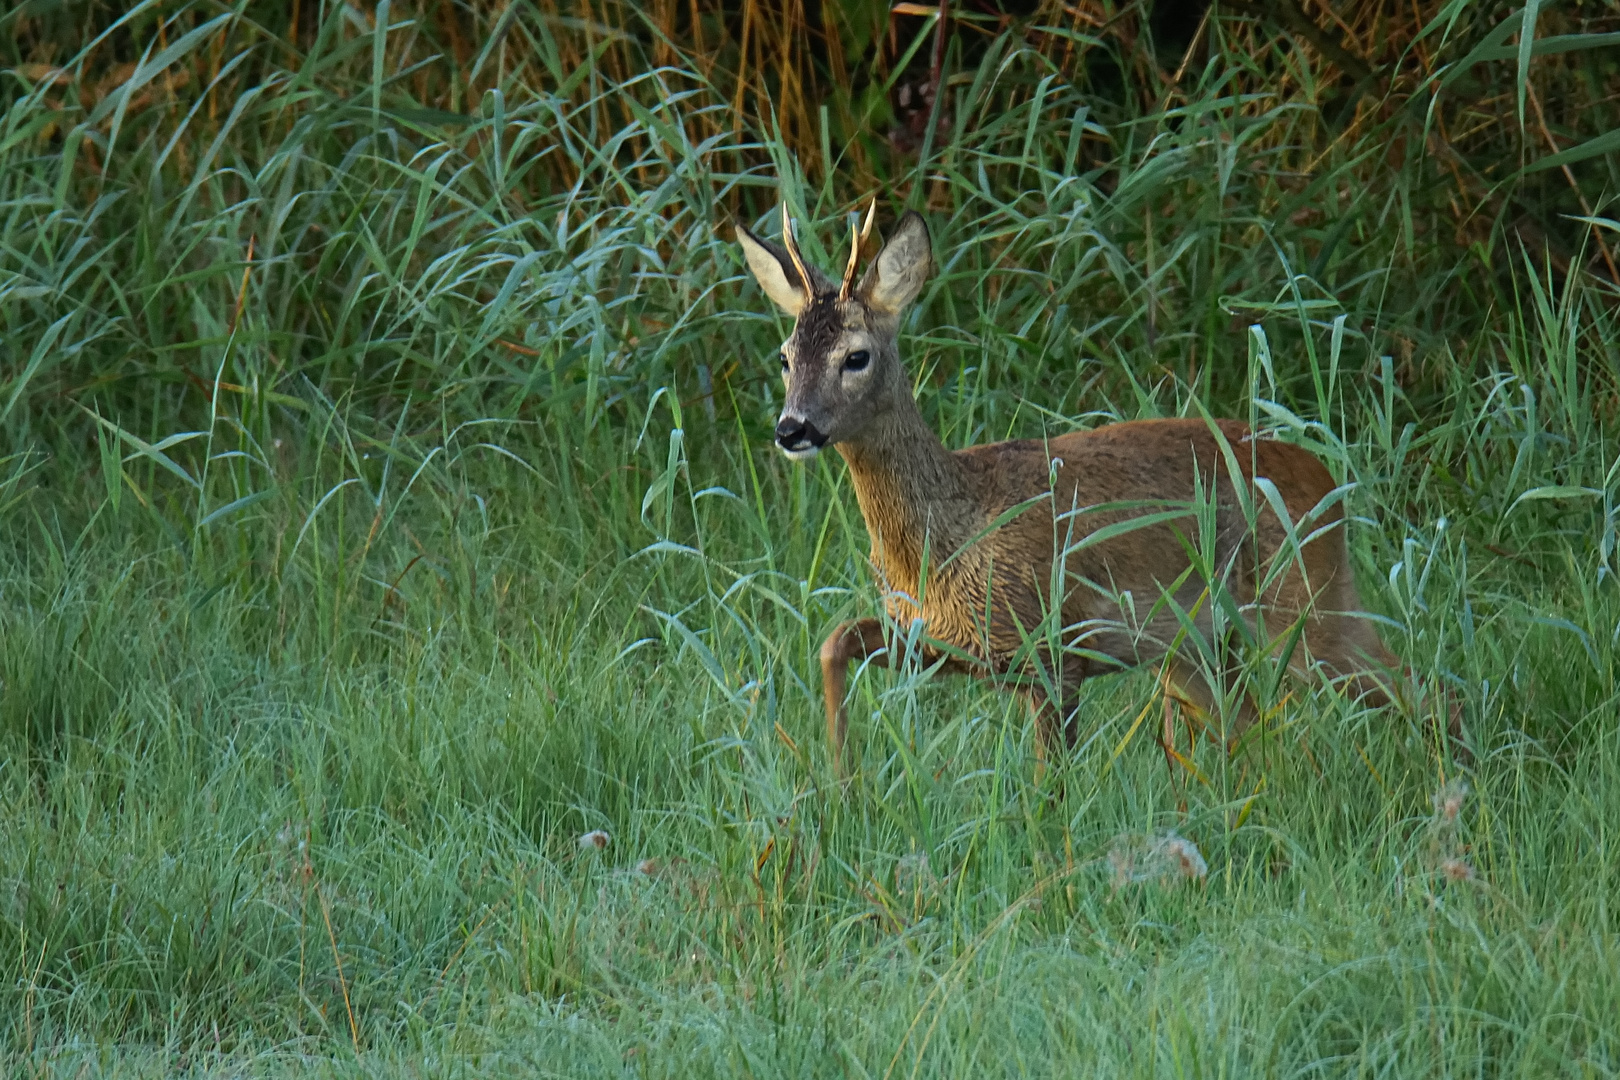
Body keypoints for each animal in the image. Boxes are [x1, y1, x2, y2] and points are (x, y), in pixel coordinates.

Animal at [741, 204, 1412, 777]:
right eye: (785, 356)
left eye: (855, 356)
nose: (792, 428)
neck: (950, 536)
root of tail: (1327, 478)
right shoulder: (948, 640)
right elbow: (835, 642)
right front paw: (838, 783)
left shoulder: (1052, 646)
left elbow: (1051, 786)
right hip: (1203, 646)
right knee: (1250, 726)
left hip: (1304, 606)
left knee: (1412, 689)